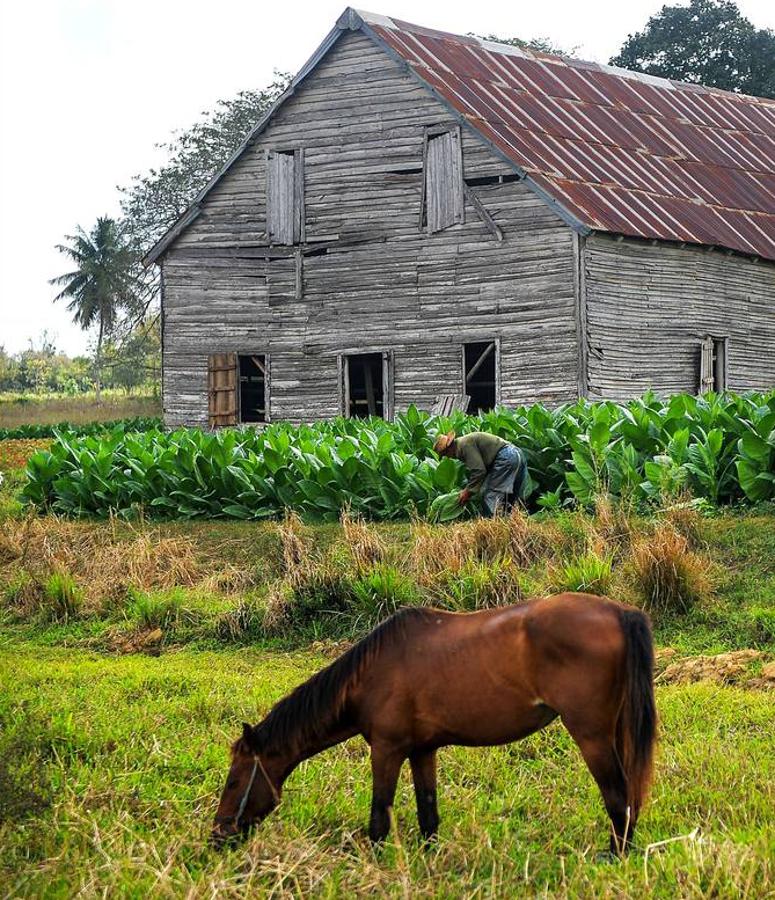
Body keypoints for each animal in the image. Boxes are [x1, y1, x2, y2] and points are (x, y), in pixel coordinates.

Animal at [211, 596, 656, 856]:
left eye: (233, 781)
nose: (218, 836)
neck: (370, 674)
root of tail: (619, 611)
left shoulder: (386, 750)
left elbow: (380, 815)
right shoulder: (422, 750)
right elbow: (428, 813)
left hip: (591, 736)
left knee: (618, 798)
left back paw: (614, 855)